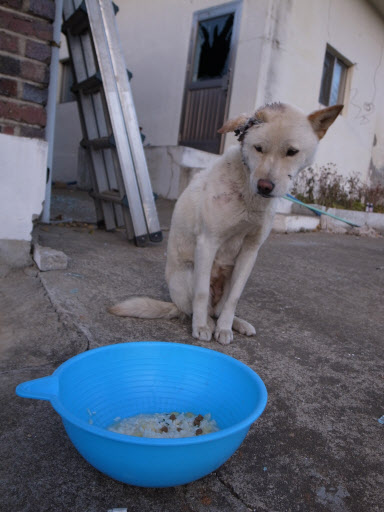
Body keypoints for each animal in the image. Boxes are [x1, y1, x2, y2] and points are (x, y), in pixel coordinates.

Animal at [110, 103, 342, 344]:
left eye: (292, 151)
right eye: (258, 148)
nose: (265, 186)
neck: (249, 196)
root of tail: (174, 304)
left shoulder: (251, 251)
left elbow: (234, 297)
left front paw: (225, 328)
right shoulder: (208, 243)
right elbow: (201, 293)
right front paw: (202, 327)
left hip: (230, 274)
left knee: (219, 308)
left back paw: (234, 323)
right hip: (189, 273)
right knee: (194, 308)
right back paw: (206, 322)